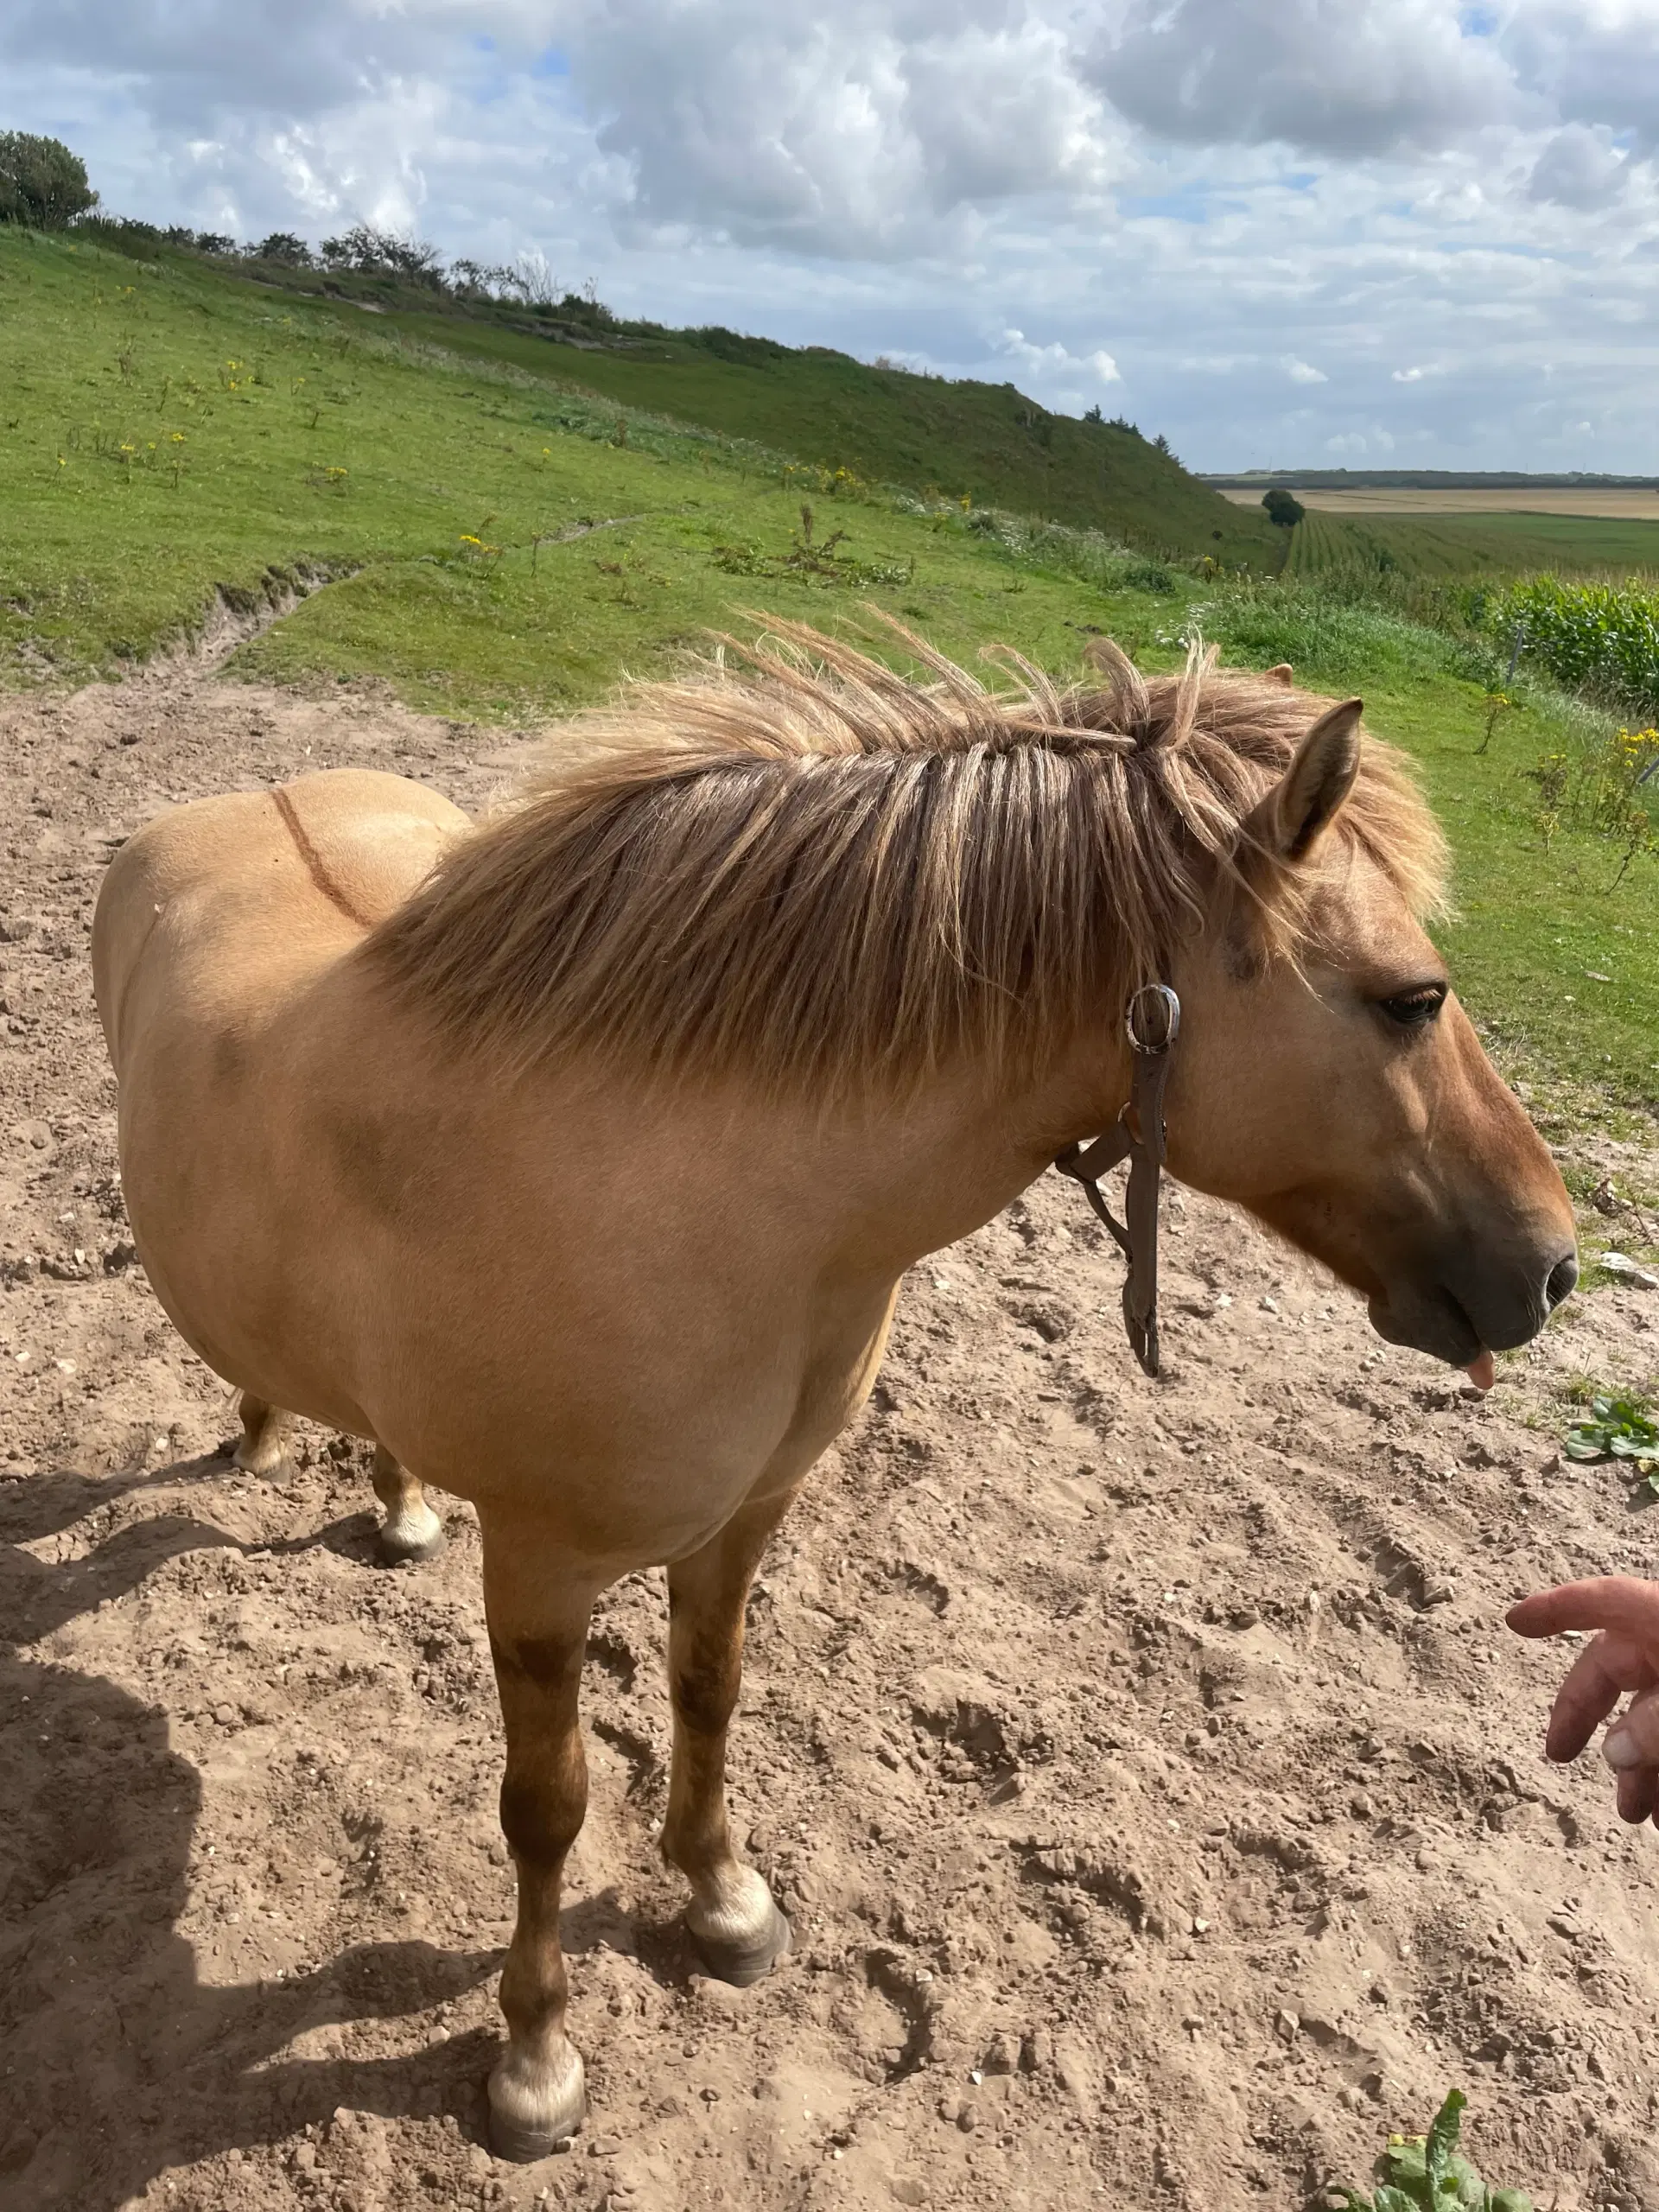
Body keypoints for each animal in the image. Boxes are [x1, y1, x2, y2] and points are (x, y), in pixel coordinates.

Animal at [93, 623, 1583, 2158]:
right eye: (1412, 1000)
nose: (1553, 1267)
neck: (699, 1197)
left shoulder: (749, 1517)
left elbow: (710, 1692)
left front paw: (724, 1904)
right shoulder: (543, 1570)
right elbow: (547, 1809)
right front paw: (536, 2060)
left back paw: (395, 1507)